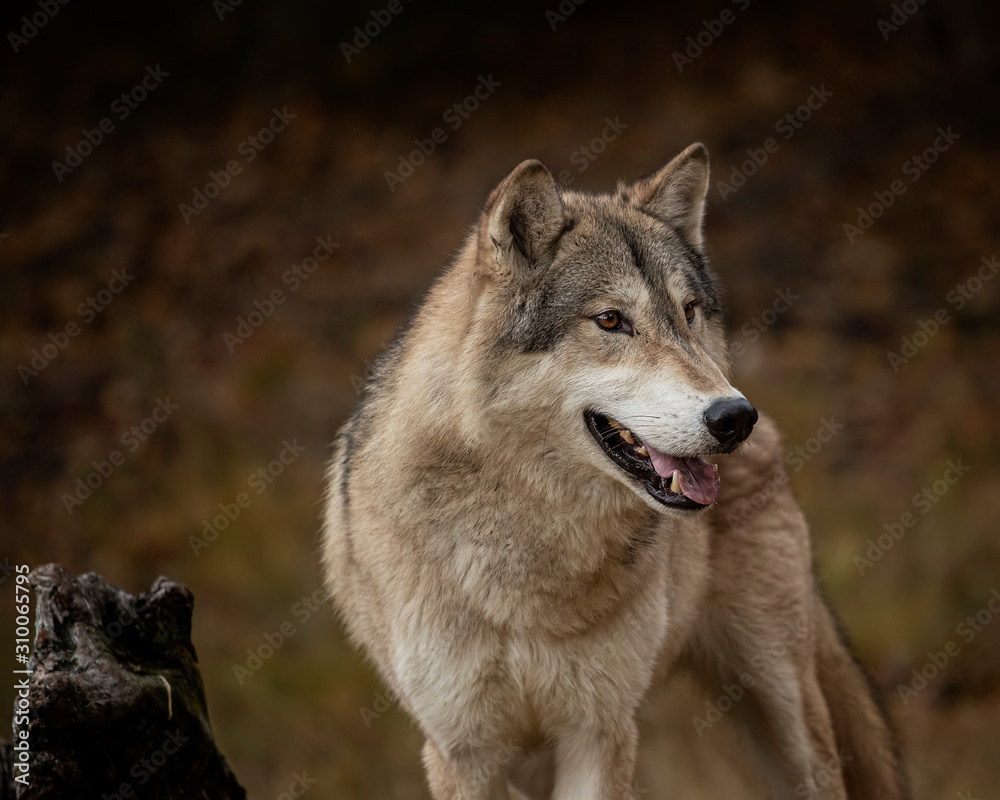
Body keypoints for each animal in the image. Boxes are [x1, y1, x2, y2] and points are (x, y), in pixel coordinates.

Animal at [321, 143, 908, 799]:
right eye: (610, 321)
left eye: (688, 313)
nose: (735, 418)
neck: (531, 547)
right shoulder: (463, 754)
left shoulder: (599, 735)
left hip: (790, 719)